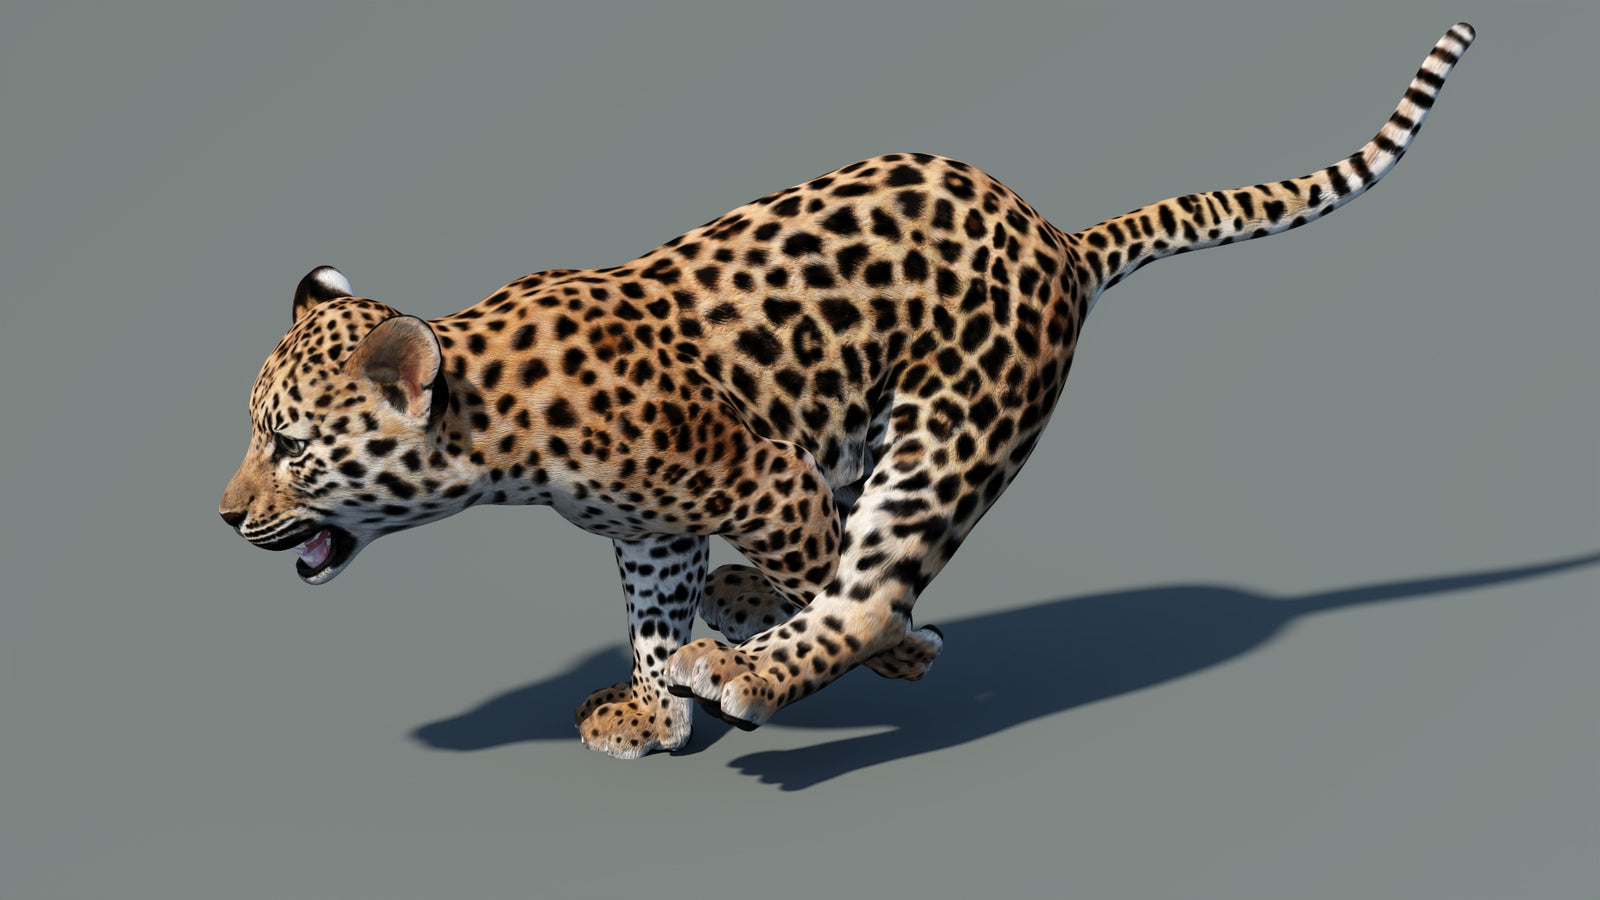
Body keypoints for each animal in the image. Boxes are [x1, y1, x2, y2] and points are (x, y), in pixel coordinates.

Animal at [220, 25, 1474, 758]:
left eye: (287, 445)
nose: (226, 517)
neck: (497, 428)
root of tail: (1058, 237)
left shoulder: (760, 474)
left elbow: (832, 573)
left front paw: (892, 652)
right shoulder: (653, 530)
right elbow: (651, 616)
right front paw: (652, 704)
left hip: (951, 422)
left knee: (866, 577)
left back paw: (767, 658)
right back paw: (736, 621)